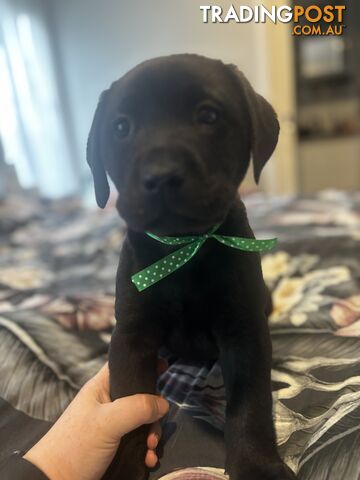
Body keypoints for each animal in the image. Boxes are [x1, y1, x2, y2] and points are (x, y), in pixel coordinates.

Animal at [86, 54, 296, 480]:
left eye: (209, 115)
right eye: (121, 127)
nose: (162, 175)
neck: (186, 249)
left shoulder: (244, 333)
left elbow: (251, 406)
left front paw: (257, 465)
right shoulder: (132, 336)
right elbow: (127, 411)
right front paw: (124, 467)